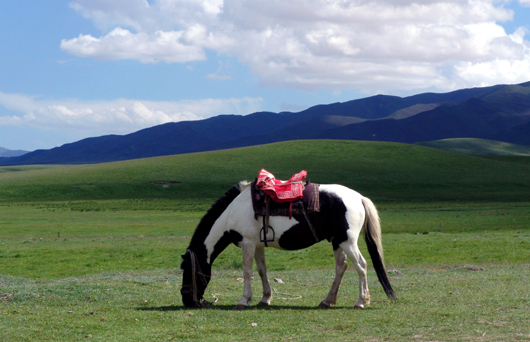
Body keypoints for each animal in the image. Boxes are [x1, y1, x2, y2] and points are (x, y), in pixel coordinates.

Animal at [179, 182, 394, 310]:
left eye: (187, 269)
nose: (187, 301)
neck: (233, 211)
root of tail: (359, 197)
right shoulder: (257, 245)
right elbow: (261, 270)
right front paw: (265, 299)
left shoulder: (247, 243)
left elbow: (247, 272)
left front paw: (244, 300)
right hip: (337, 242)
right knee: (342, 267)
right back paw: (327, 301)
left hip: (348, 241)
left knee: (361, 265)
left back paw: (361, 301)